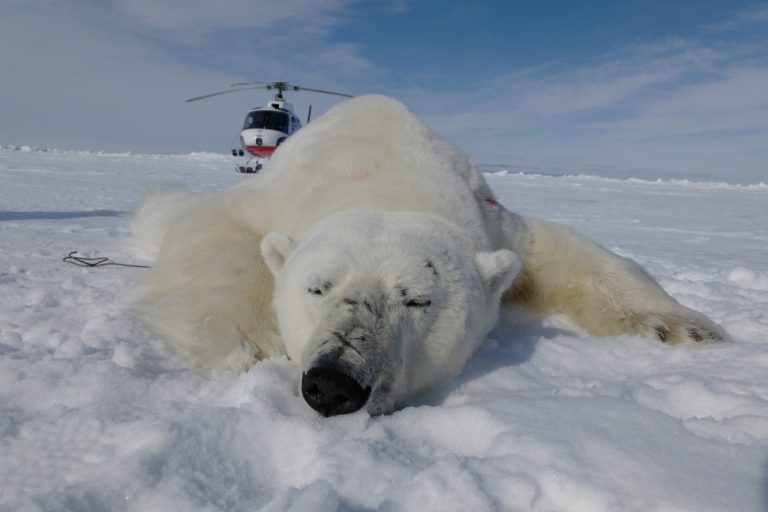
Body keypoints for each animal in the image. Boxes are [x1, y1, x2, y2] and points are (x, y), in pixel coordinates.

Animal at [130, 95, 728, 416]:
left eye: (418, 300)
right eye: (317, 287)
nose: (335, 383)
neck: (387, 170)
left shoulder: (493, 219)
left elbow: (562, 251)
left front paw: (685, 328)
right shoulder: (275, 193)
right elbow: (218, 228)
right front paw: (250, 340)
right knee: (166, 210)